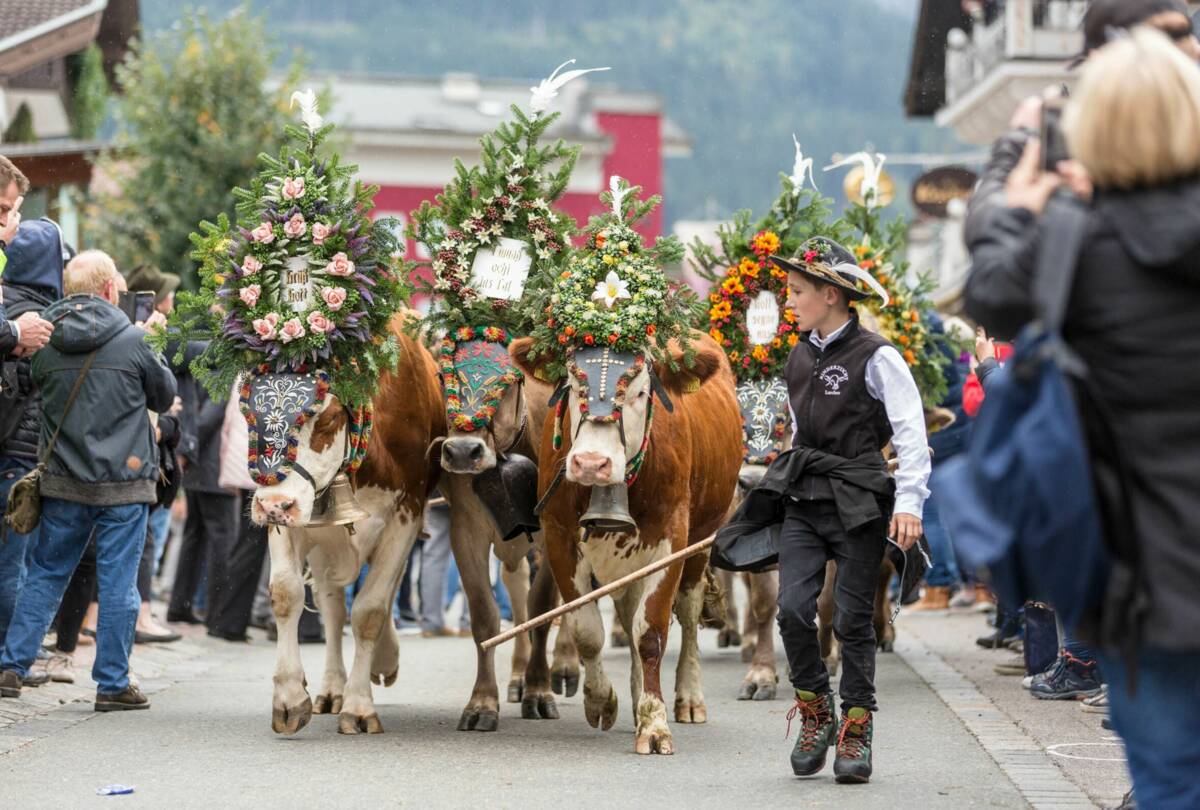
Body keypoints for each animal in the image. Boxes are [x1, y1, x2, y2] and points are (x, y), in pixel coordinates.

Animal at [250, 314, 444, 734]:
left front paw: (358, 707)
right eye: (248, 413)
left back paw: (382, 662)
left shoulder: (406, 516)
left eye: (329, 416)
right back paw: (331, 688)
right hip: (325, 541)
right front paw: (289, 698)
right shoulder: (293, 519)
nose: (272, 505)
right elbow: (286, 594)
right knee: (333, 606)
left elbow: (370, 610)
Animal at [432, 333, 580, 729]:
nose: (463, 451)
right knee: (516, 585)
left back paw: (565, 667)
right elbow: (486, 616)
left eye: (510, 381)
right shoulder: (466, 530)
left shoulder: (555, 528)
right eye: (444, 375)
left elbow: (543, 607)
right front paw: (482, 704)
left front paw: (540, 692)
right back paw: (517, 676)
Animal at [513, 333, 744, 758]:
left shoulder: (671, 541)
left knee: (688, 615)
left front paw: (654, 724)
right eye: (574, 384)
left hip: (703, 538)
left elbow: (650, 634)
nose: (591, 463)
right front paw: (601, 700)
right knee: (626, 611)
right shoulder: (559, 536)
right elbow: (587, 630)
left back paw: (688, 698)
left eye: (640, 392)